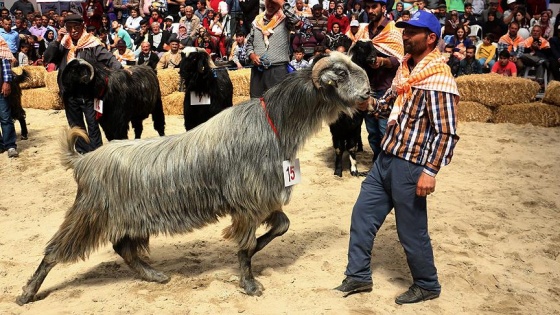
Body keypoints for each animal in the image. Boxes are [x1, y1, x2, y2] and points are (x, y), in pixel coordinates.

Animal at [15, 51, 370, 306]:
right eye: (340, 73)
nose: (369, 91)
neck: (275, 123)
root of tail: (83, 160)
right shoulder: (249, 201)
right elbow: (245, 246)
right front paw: (249, 282)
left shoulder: (263, 199)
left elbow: (280, 226)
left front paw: (255, 250)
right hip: (89, 215)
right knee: (54, 252)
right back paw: (27, 293)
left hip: (127, 217)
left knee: (123, 247)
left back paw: (154, 275)